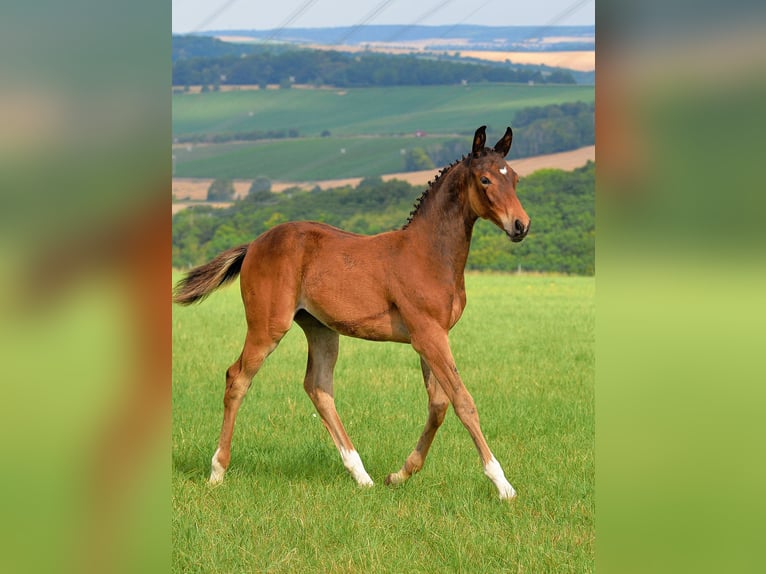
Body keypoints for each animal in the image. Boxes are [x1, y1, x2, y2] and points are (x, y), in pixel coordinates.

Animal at [173, 125, 530, 500]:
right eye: (485, 180)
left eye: (514, 178)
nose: (521, 225)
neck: (428, 254)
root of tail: (255, 244)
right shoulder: (428, 336)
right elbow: (463, 402)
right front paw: (502, 484)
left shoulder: (433, 336)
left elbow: (438, 405)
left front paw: (399, 475)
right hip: (267, 326)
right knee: (238, 377)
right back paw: (217, 470)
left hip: (321, 330)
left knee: (318, 387)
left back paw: (362, 475)